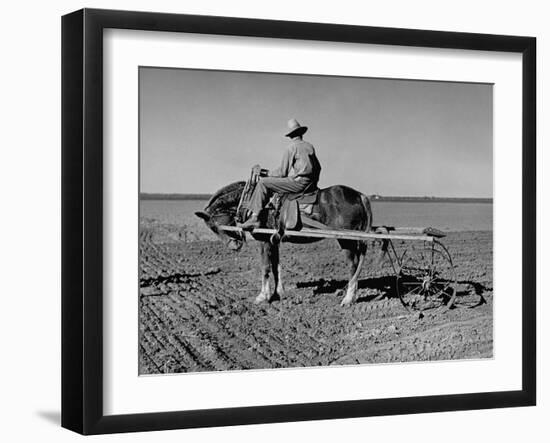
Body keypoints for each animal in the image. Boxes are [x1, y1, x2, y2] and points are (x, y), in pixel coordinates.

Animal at [195, 182, 376, 306]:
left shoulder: (264, 240)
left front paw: (262, 296)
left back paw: (348, 298)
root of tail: (359, 196)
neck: (253, 203)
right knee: (357, 263)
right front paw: (277, 293)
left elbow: (265, 267)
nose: (233, 246)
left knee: (353, 265)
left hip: (346, 239)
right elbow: (276, 266)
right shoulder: (274, 241)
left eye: (214, 227)